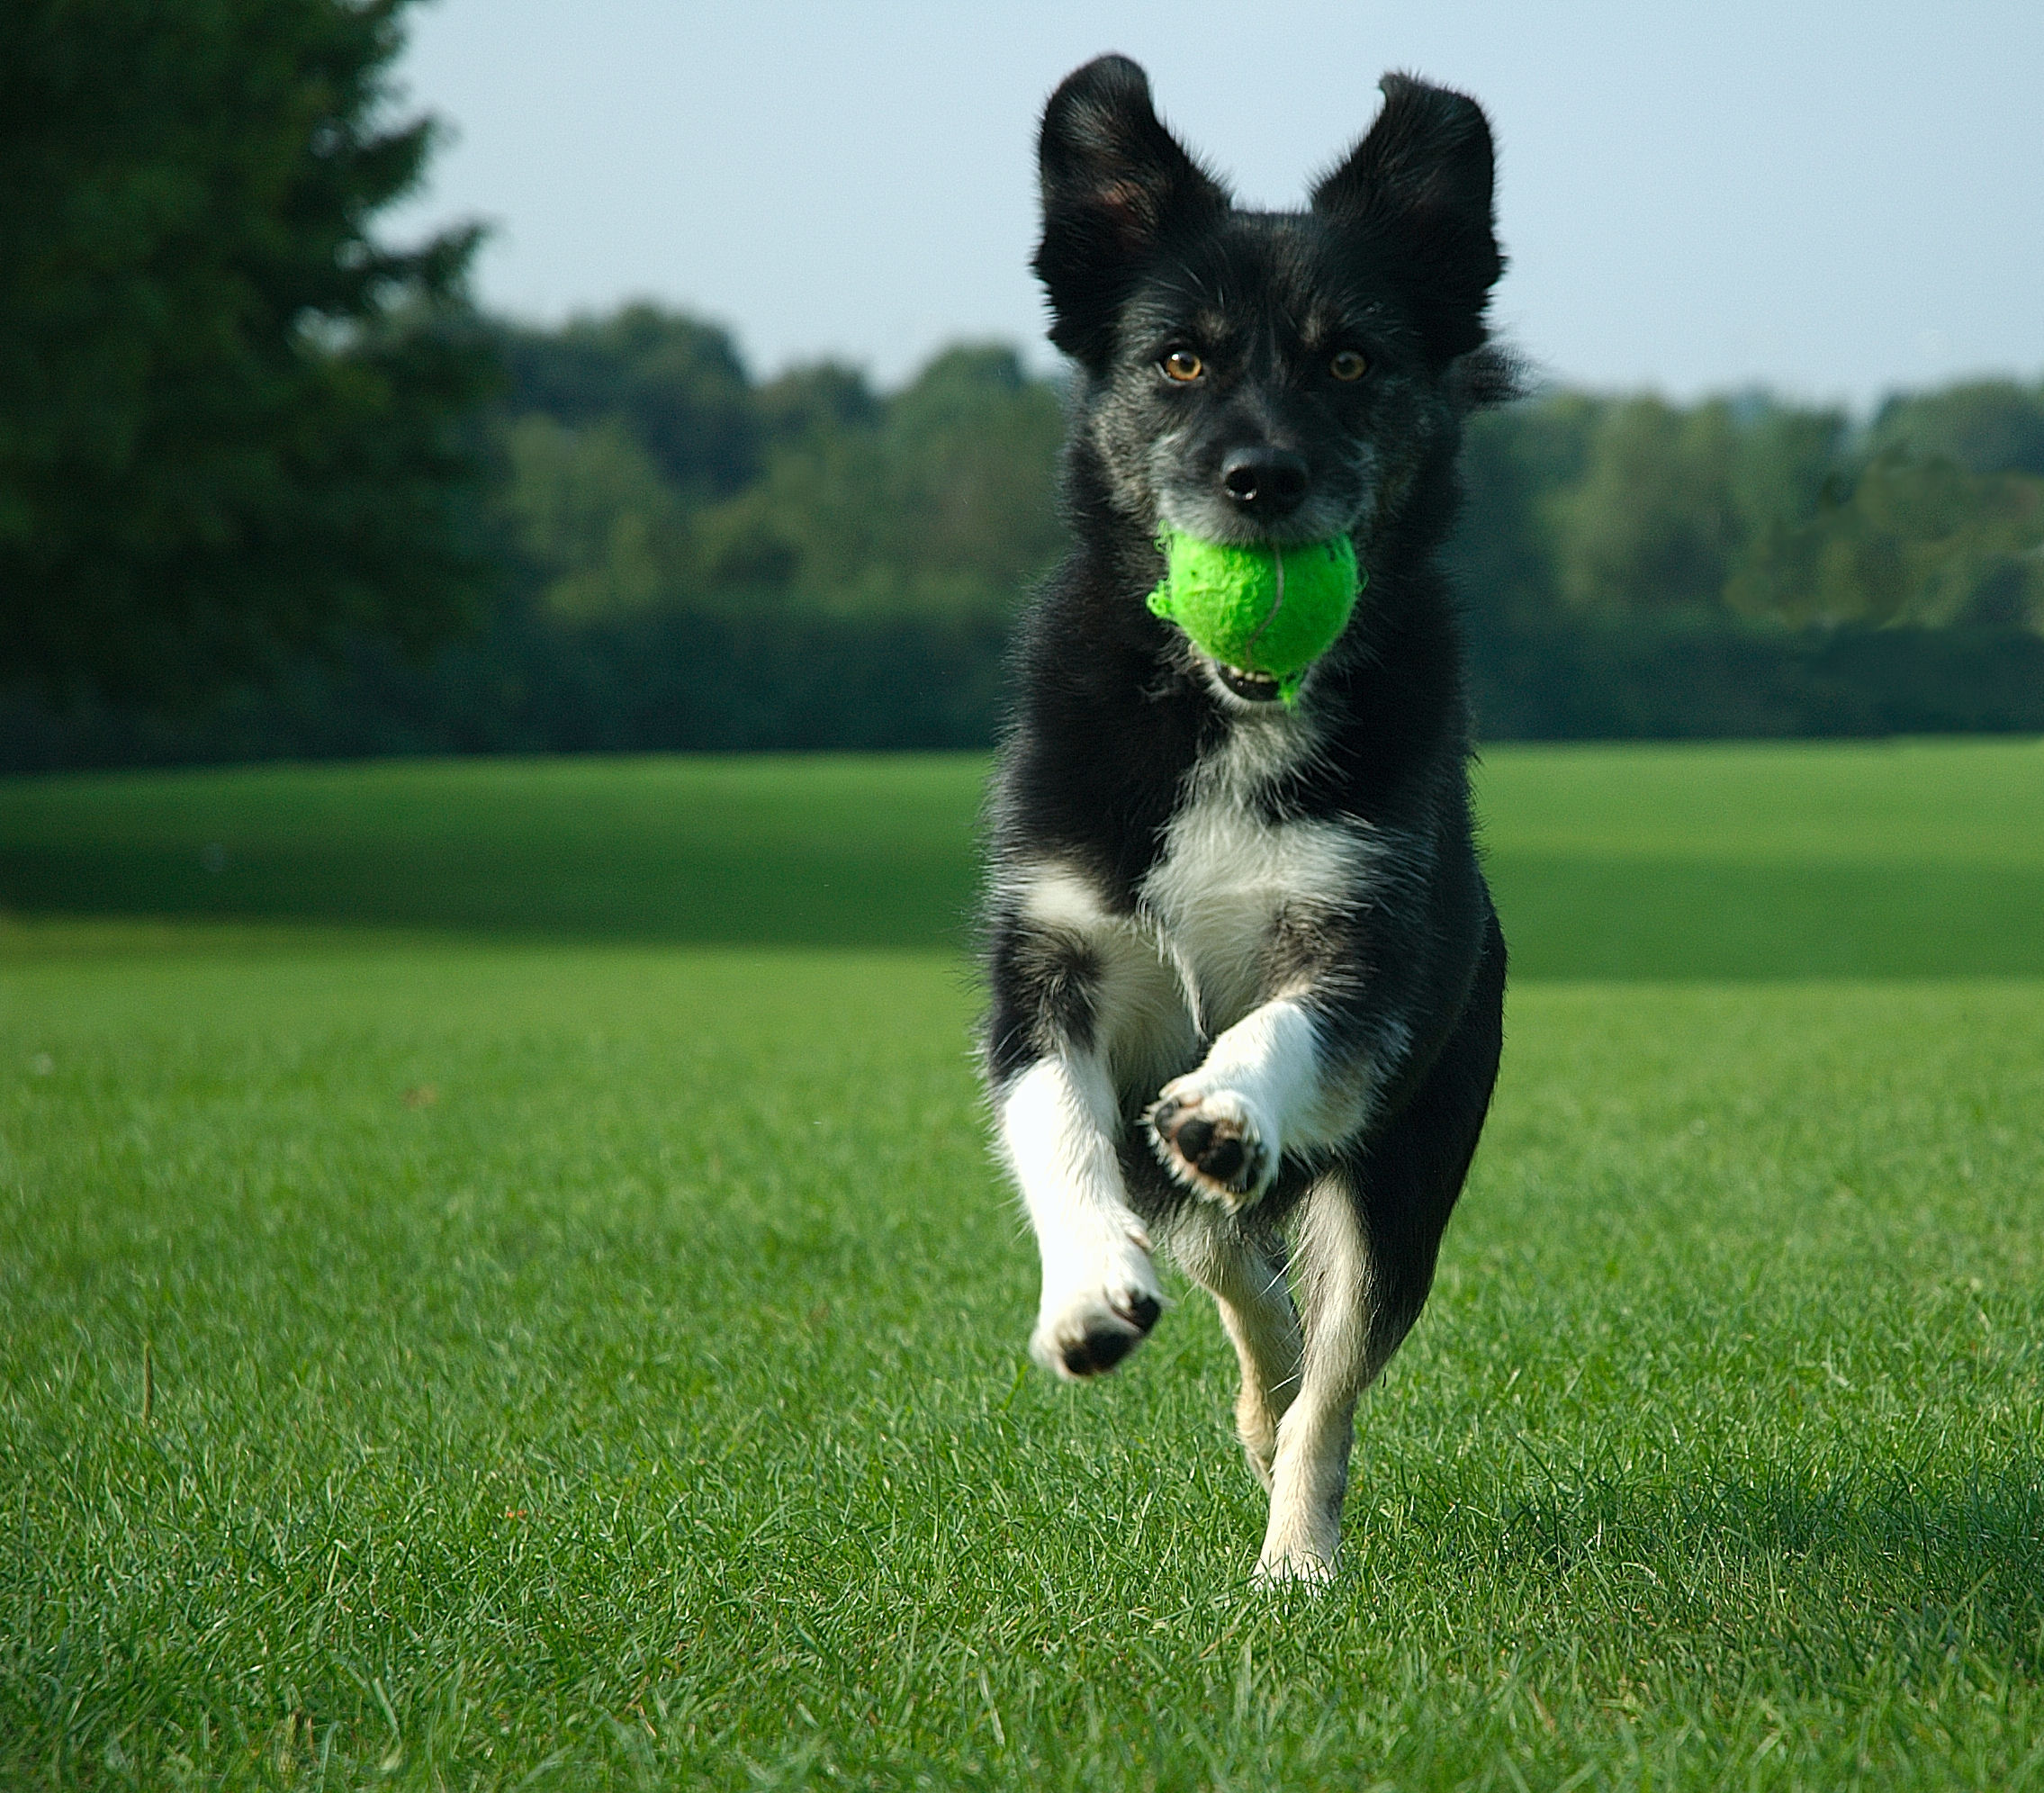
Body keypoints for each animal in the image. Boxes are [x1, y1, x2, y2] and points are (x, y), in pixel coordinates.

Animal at [981, 52, 1512, 1578]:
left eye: (1347, 361)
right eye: (1178, 360)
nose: (1259, 480)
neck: (1226, 714)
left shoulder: (1364, 946)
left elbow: (1285, 1029)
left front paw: (1227, 1105)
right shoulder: (1047, 952)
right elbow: (1053, 1122)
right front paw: (1085, 1292)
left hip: (1403, 1178)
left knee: (1329, 1374)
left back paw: (1296, 1549)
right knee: (1237, 1272)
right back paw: (1246, 1384)